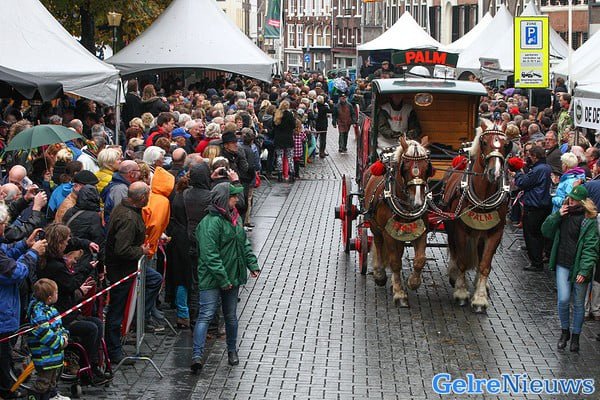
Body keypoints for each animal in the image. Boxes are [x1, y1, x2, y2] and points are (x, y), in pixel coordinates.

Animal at [363, 136, 433, 307]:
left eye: (427, 167)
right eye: (405, 168)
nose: (418, 202)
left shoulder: (420, 230)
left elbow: (420, 259)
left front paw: (413, 282)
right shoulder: (388, 232)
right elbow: (394, 261)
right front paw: (400, 293)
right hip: (375, 226)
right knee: (378, 243)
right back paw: (380, 274)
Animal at [442, 128, 511, 313]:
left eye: (506, 145)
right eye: (484, 142)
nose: (494, 173)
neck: (483, 199)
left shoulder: (495, 232)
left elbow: (485, 264)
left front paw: (480, 298)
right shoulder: (460, 230)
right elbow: (462, 261)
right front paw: (461, 292)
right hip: (451, 226)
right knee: (455, 251)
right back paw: (454, 275)